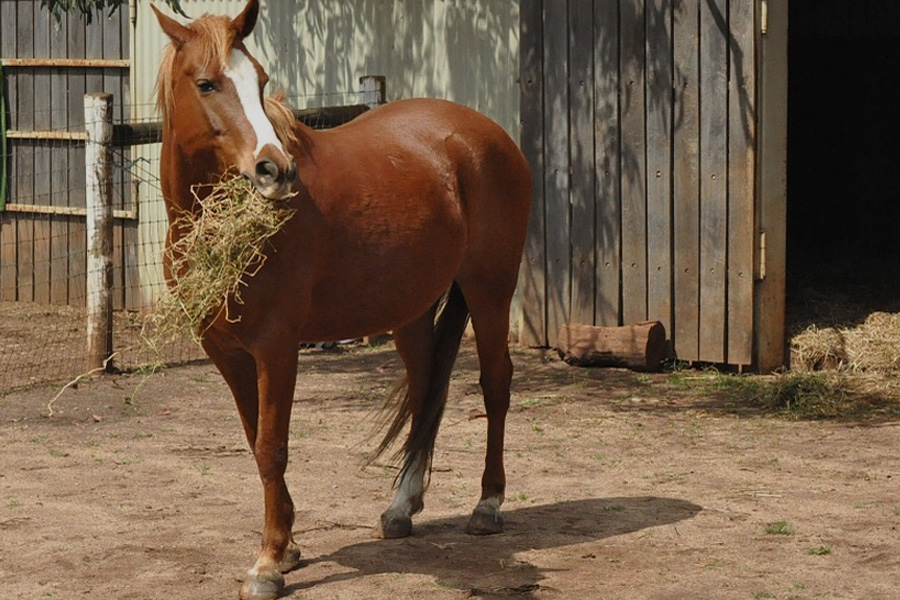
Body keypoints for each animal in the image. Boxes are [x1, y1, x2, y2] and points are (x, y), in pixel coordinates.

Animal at [151, 2, 531, 598]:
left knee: (495, 386)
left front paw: (267, 563)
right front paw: (287, 547)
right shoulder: (225, 352)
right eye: (206, 83)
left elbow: (272, 447)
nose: (274, 170)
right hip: (410, 311)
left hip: (490, 290)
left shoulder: (277, 347)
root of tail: (487, 134)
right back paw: (401, 507)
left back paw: (488, 506)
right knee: (427, 390)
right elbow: (254, 439)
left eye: (260, 80)